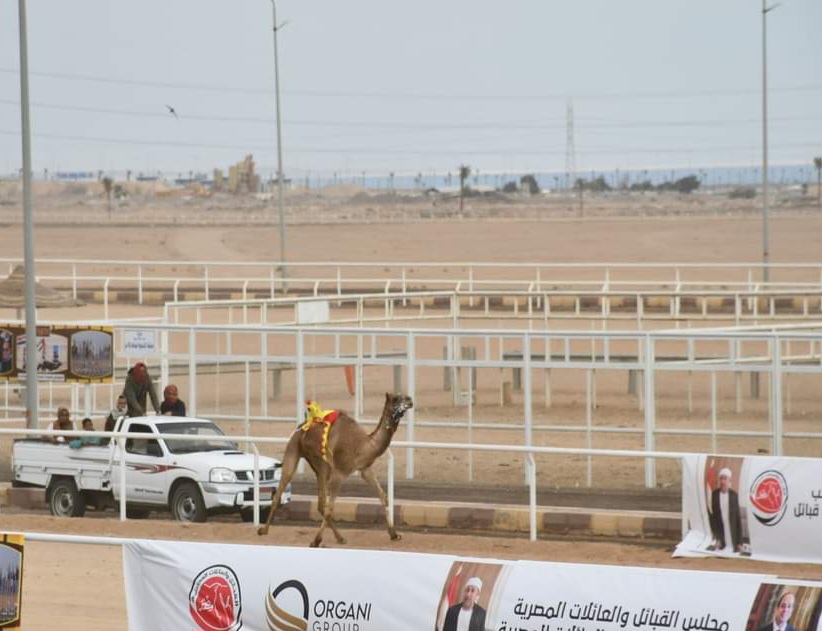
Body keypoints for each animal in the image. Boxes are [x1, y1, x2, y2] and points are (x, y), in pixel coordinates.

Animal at [257, 392, 413, 547]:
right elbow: (330, 508)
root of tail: (302, 426)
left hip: (319, 465)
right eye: (396, 398)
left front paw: (394, 534)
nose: (410, 400)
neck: (364, 445)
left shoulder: (365, 469)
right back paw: (263, 530)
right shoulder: (340, 472)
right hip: (296, 451)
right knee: (282, 491)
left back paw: (340, 538)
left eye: (404, 396)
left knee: (320, 503)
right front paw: (315, 541)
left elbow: (383, 497)